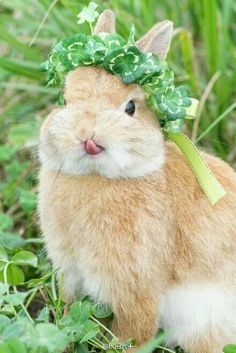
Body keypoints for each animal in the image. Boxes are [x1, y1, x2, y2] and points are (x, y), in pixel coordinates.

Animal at [38, 8, 236, 352]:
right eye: (64, 101)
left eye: (130, 107)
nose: (88, 137)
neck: (99, 177)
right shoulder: (70, 272)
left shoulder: (135, 287)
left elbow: (134, 332)